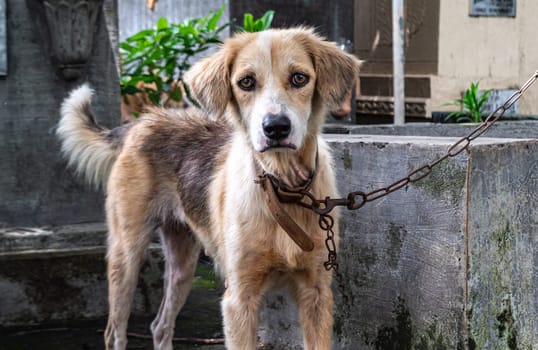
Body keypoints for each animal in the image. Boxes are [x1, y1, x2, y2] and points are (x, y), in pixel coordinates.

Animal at [57, 28, 360, 350]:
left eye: (299, 78)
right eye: (246, 82)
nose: (276, 128)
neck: (281, 189)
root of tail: (142, 122)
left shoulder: (316, 294)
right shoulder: (238, 299)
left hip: (182, 264)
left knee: (160, 326)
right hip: (126, 256)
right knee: (114, 332)